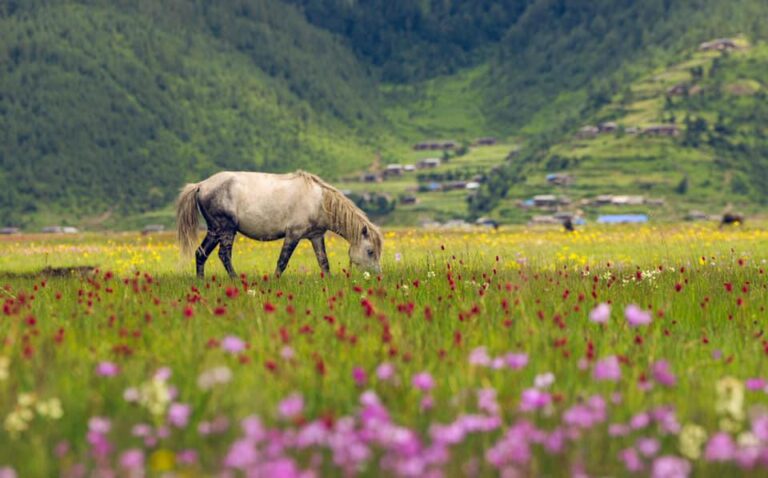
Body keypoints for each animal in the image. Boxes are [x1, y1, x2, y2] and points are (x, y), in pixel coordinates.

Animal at [176, 170, 382, 278]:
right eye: (370, 251)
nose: (377, 276)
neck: (319, 201)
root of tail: (201, 185)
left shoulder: (316, 236)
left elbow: (323, 262)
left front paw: (329, 282)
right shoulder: (293, 235)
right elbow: (282, 261)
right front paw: (275, 281)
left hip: (214, 231)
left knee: (201, 253)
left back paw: (201, 281)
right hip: (226, 229)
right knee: (224, 255)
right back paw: (235, 280)